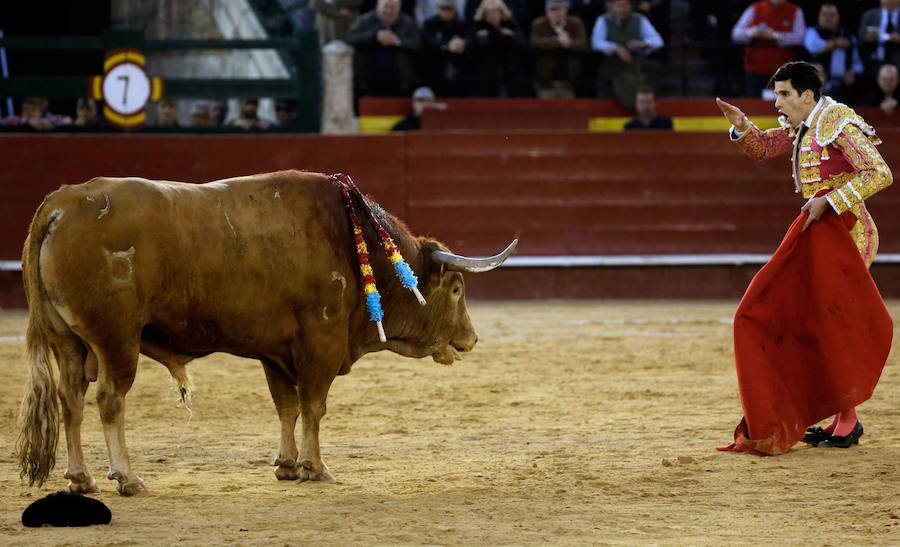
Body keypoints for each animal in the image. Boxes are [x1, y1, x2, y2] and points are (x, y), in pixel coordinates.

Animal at [17, 171, 516, 496]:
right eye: (457, 288)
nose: (470, 339)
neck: (358, 245)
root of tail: (60, 204)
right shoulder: (321, 344)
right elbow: (314, 407)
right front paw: (317, 468)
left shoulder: (276, 353)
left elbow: (287, 408)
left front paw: (288, 465)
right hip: (117, 340)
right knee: (110, 400)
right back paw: (127, 478)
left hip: (68, 342)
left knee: (70, 402)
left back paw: (81, 479)